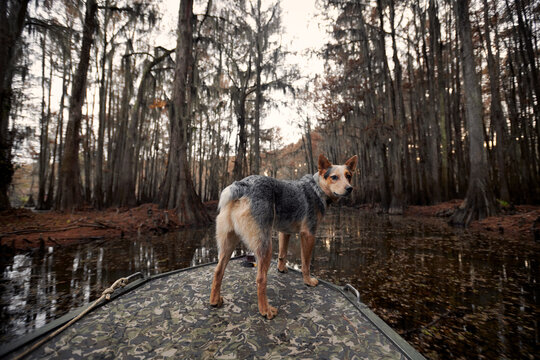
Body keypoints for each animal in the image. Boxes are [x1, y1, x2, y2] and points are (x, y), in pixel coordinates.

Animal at [209, 153, 356, 320]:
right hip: (265, 246)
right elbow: (306, 264)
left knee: (218, 271)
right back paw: (265, 310)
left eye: (348, 176)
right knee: (261, 279)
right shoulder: (308, 235)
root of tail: (241, 185)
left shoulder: (284, 232)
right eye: (334, 177)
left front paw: (281, 269)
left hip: (228, 243)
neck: (317, 188)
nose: (349, 188)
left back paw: (214, 301)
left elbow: (283, 254)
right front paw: (308, 281)